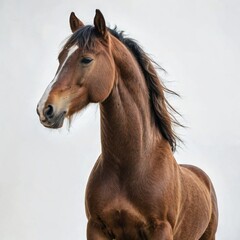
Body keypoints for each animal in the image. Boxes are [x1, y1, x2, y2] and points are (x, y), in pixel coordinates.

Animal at [36, 8, 218, 238]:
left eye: (86, 59)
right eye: (60, 58)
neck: (131, 165)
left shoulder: (160, 230)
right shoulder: (95, 228)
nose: (45, 109)